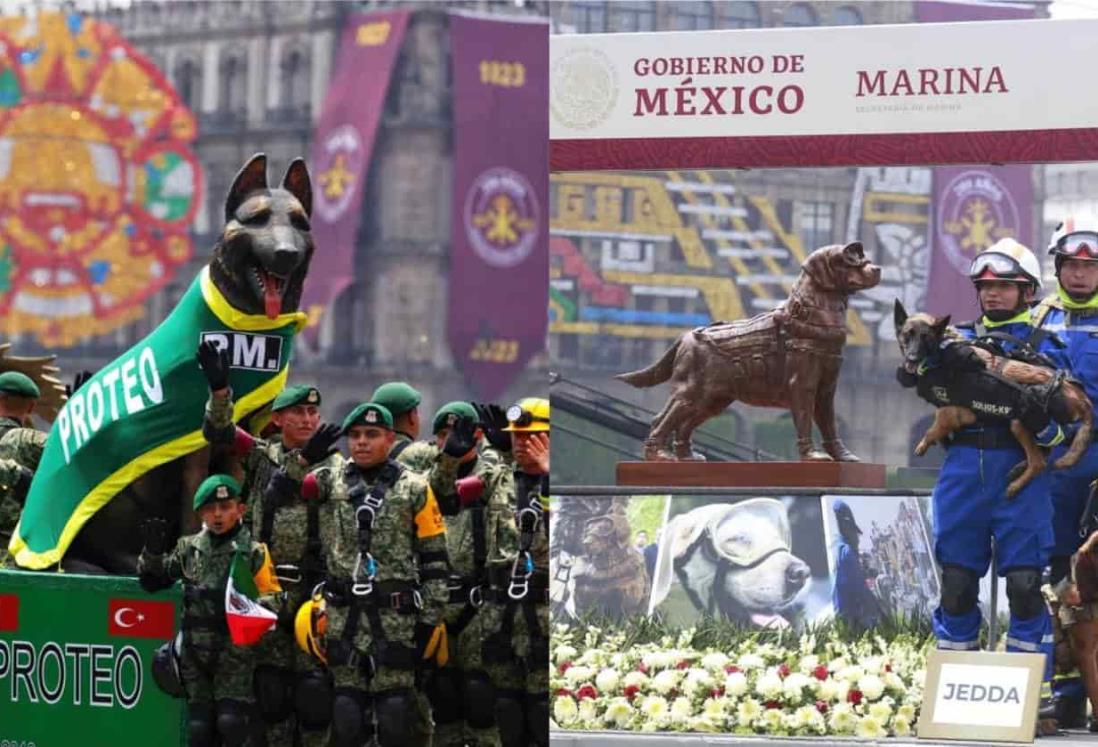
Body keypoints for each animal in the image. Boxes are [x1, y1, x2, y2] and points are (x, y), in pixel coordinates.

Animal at [63, 151, 314, 571]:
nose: (286, 254)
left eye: (299, 222)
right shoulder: (194, 442)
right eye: (258, 218)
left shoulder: (245, 434)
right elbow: (199, 494)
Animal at [895, 300, 1093, 498]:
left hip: (1020, 421)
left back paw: (1015, 486)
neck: (944, 348)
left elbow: (931, 430)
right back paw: (1019, 468)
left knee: (1039, 462)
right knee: (1044, 451)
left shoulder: (951, 413)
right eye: (907, 335)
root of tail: (1084, 399)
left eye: (926, 338)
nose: (911, 358)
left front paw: (924, 444)